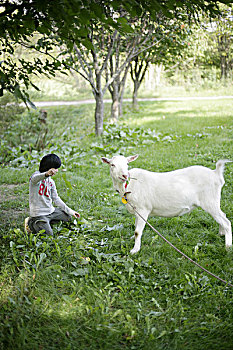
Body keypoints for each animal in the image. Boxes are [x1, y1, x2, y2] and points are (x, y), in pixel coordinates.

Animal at [101, 154, 231, 253]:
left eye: (127, 164)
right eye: (112, 164)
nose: (125, 175)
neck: (128, 185)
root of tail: (216, 173)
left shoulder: (143, 208)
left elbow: (138, 231)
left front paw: (134, 250)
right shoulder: (138, 210)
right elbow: (136, 227)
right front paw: (133, 239)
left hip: (210, 200)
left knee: (226, 222)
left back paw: (228, 247)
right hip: (214, 202)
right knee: (222, 217)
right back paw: (221, 233)